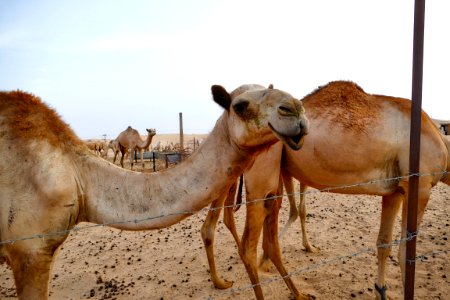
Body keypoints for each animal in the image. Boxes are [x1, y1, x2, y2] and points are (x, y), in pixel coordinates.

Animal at [202, 80, 450, 300]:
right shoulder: (420, 185)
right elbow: (406, 252)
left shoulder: (394, 191)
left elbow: (383, 243)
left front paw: (381, 290)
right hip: (261, 176)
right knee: (247, 245)